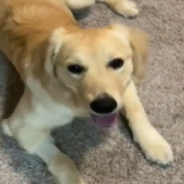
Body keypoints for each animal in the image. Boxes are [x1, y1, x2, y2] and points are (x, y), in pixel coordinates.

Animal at [0, 0, 172, 183]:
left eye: (117, 62)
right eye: (74, 68)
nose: (104, 106)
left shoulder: (126, 82)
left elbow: (136, 110)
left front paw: (154, 143)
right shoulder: (21, 127)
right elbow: (63, 161)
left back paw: (125, 6)